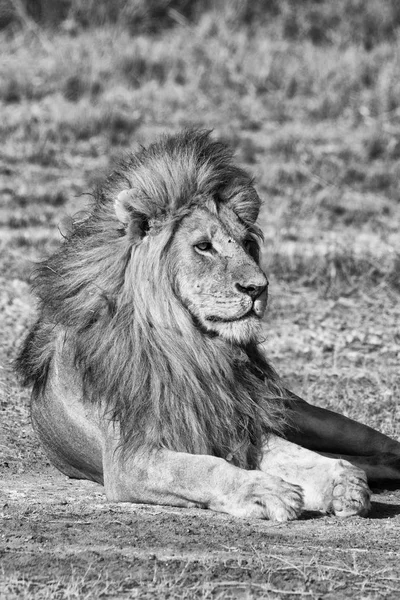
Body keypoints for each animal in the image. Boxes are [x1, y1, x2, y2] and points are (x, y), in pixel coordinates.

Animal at [17, 127, 400, 520]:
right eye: (203, 246)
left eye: (247, 243)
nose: (258, 288)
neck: (191, 348)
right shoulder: (131, 458)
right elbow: (202, 468)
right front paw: (264, 490)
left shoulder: (238, 420)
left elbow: (293, 455)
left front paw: (340, 482)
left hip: (300, 412)